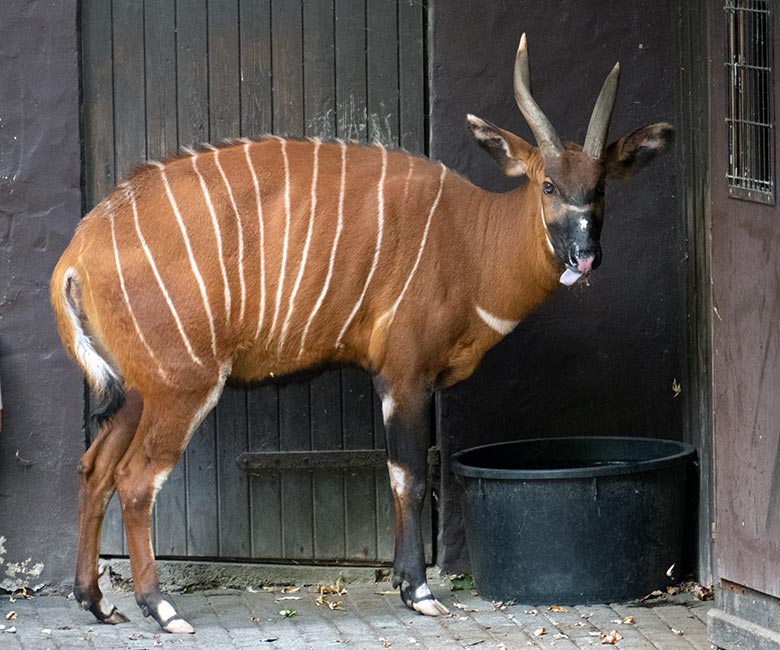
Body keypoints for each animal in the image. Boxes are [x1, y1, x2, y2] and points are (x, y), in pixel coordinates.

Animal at [48, 33, 672, 632]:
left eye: (600, 187)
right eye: (547, 185)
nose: (585, 256)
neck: (471, 242)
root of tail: (77, 253)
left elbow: (400, 476)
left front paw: (404, 584)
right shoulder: (404, 373)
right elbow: (408, 477)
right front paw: (418, 592)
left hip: (137, 391)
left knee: (94, 469)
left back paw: (96, 602)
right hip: (183, 384)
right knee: (135, 479)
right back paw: (162, 609)